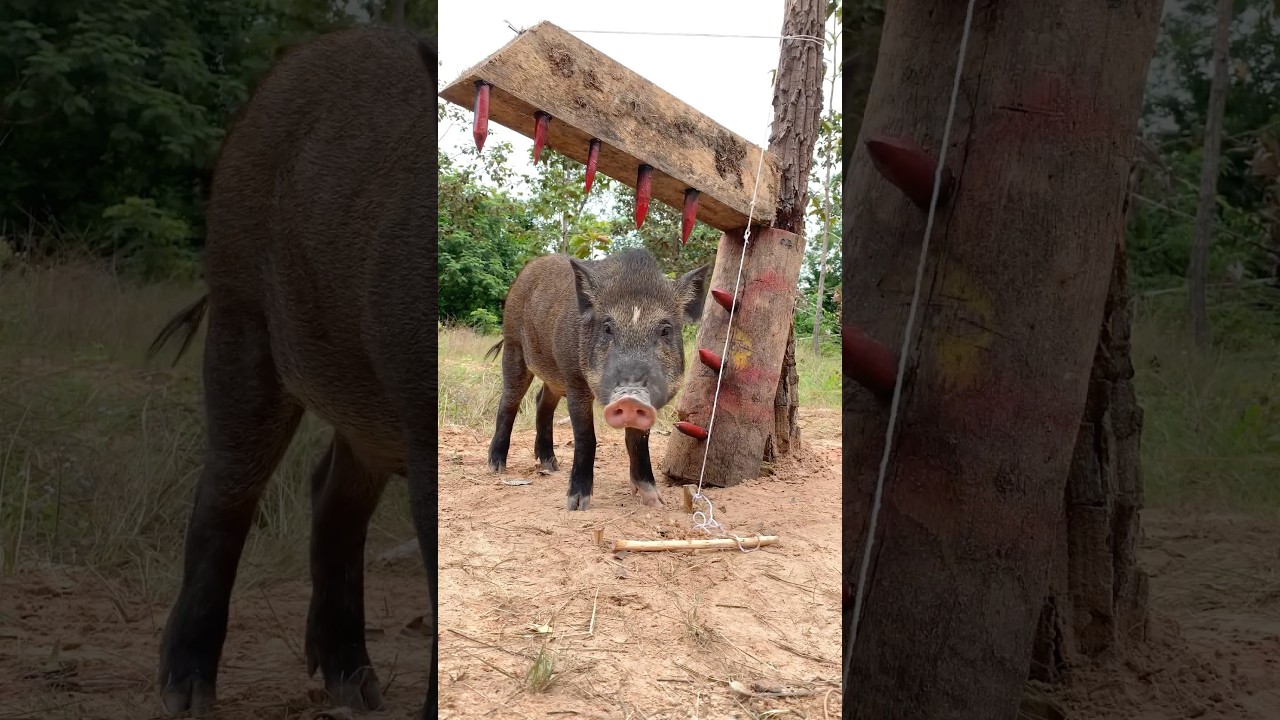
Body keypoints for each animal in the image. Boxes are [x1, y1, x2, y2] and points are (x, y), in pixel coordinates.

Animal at [145, 26, 438, 720]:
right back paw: (187, 695)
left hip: (367, 399)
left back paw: (357, 689)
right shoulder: (422, 414)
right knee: (227, 488)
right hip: (239, 309)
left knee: (329, 492)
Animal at [486, 248, 709, 511]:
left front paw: (656, 503)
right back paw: (496, 467)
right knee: (510, 401)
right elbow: (586, 438)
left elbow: (639, 442)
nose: (630, 397)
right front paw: (577, 505)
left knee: (542, 401)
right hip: (514, 346)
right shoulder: (575, 380)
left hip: (554, 376)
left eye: (665, 330)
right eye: (607, 328)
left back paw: (550, 466)